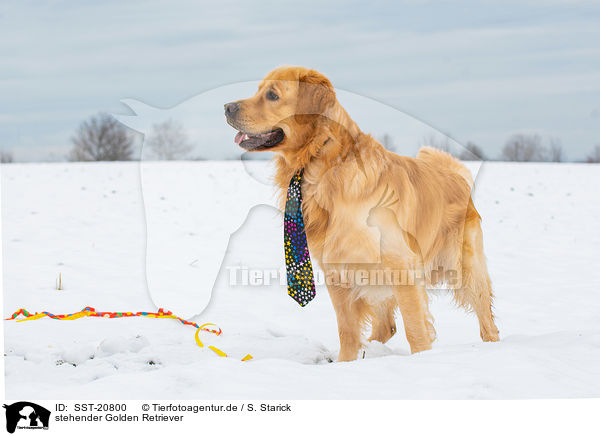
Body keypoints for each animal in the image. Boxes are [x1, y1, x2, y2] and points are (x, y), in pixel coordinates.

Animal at [223, 65, 500, 362]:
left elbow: (415, 327)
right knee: (386, 326)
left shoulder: (401, 264)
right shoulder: (337, 270)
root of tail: (456, 177)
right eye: (258, 91)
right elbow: (347, 329)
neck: (323, 160)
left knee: (486, 318)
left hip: (465, 268)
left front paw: (420, 360)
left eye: (272, 95)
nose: (227, 107)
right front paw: (345, 364)